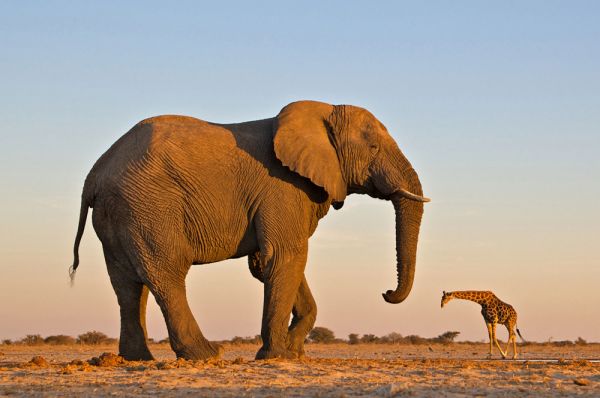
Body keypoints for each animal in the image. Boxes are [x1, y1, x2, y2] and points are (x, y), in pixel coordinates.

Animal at [69, 98, 426, 360]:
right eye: (374, 148)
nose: (385, 293)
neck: (322, 112)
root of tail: (94, 174)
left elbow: (270, 264)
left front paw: (293, 351)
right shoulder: (282, 187)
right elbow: (285, 256)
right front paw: (276, 355)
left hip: (120, 212)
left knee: (127, 285)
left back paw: (136, 359)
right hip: (149, 204)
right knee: (165, 272)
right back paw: (206, 355)